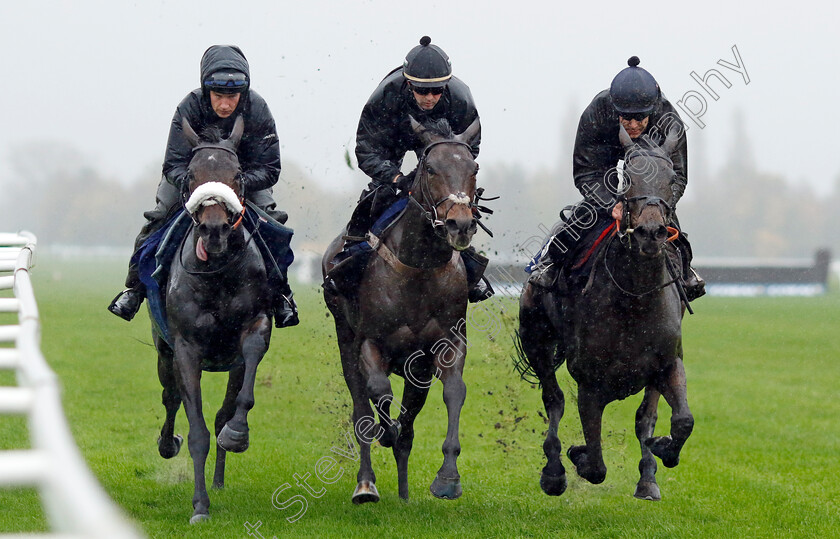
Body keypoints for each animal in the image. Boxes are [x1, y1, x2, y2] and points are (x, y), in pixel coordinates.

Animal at [149, 116, 270, 524]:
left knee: (222, 412)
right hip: (163, 351)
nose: (214, 230)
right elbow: (196, 430)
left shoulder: (253, 330)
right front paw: (199, 505)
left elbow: (238, 400)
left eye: (238, 175)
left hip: (229, 364)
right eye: (190, 175)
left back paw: (219, 474)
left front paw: (237, 435)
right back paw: (167, 443)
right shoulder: (186, 349)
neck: (218, 274)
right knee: (170, 398)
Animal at [322, 116, 480, 504]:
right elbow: (379, 392)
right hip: (344, 337)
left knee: (409, 417)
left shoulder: (444, 345)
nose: (460, 224)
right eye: (431, 167)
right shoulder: (370, 342)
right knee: (361, 407)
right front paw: (385, 433)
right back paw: (366, 483)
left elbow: (453, 392)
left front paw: (448, 477)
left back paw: (405, 491)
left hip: (416, 368)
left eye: (473, 168)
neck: (420, 267)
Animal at [520, 124, 696, 500]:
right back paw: (554, 471)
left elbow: (678, 420)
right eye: (627, 177)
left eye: (672, 178)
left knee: (645, 416)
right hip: (535, 339)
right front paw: (577, 454)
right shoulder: (590, 382)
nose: (650, 232)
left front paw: (662, 452)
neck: (634, 298)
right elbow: (596, 465)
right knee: (553, 398)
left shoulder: (668, 363)